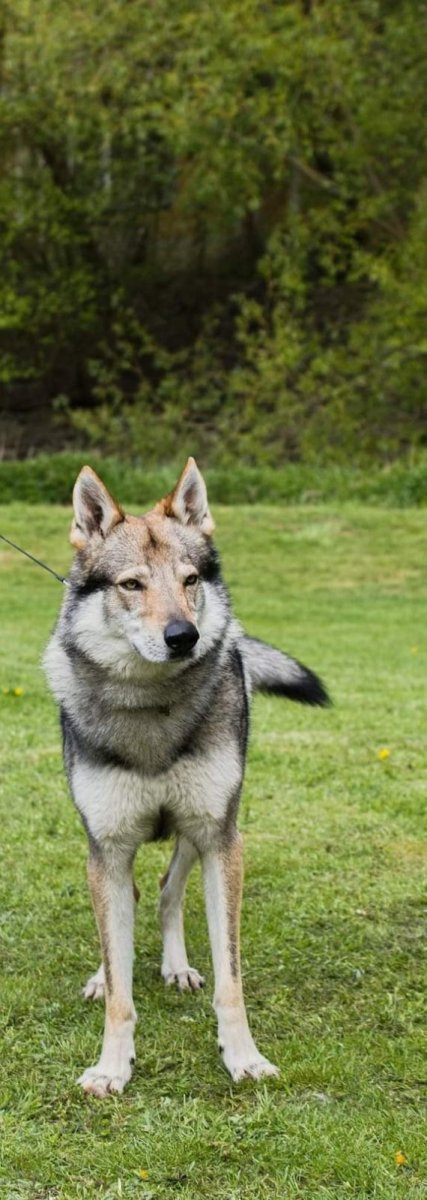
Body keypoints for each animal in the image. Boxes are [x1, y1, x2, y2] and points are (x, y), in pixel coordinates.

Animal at [43, 457, 329, 1097]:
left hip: (197, 837)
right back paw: (103, 972)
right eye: (131, 585)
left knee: (167, 890)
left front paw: (243, 1058)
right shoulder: (108, 846)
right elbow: (120, 990)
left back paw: (176, 967)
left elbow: (231, 979)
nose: (184, 636)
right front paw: (111, 1067)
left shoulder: (222, 838)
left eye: (190, 579)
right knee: (126, 911)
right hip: (108, 853)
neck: (151, 708)